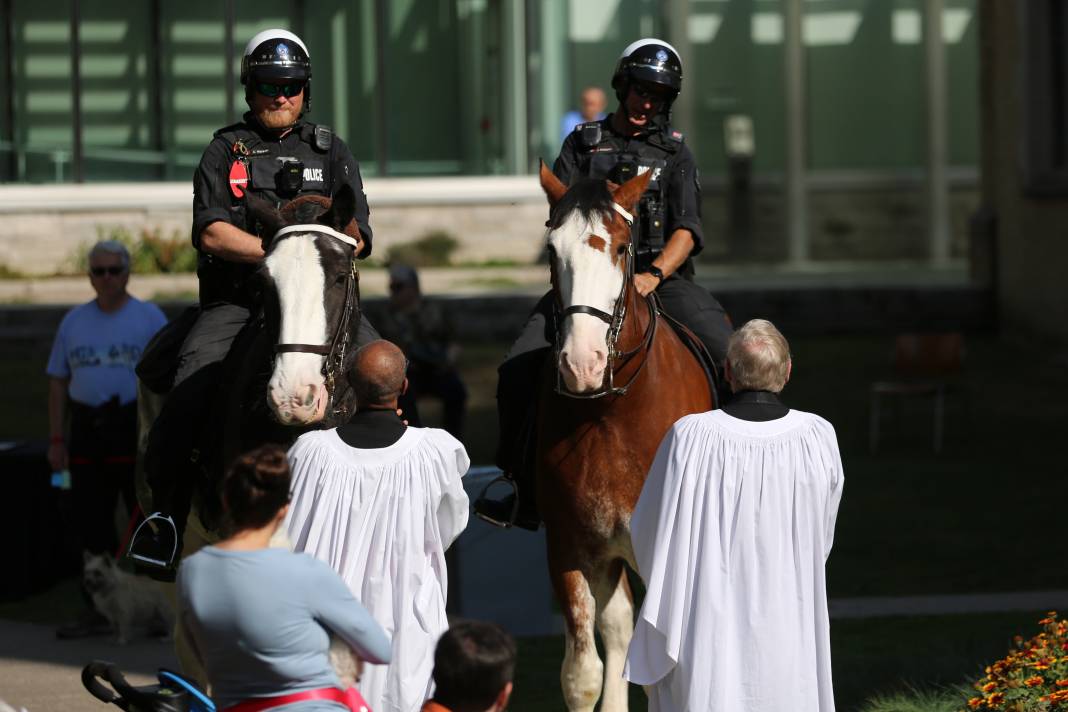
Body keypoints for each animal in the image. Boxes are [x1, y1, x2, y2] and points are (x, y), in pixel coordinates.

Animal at [538, 163, 713, 712]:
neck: (611, 413)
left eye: (619, 247)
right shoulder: (570, 545)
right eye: (553, 250)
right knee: (617, 629)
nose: (581, 363)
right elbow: (582, 674)